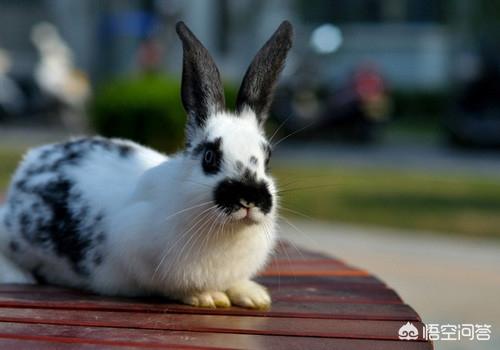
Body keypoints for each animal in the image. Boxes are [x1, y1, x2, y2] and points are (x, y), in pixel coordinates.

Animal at [0, 20, 292, 308]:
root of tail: (30, 162)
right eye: (210, 157)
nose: (249, 198)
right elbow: (170, 287)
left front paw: (253, 295)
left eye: (267, 158)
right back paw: (18, 275)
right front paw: (207, 296)